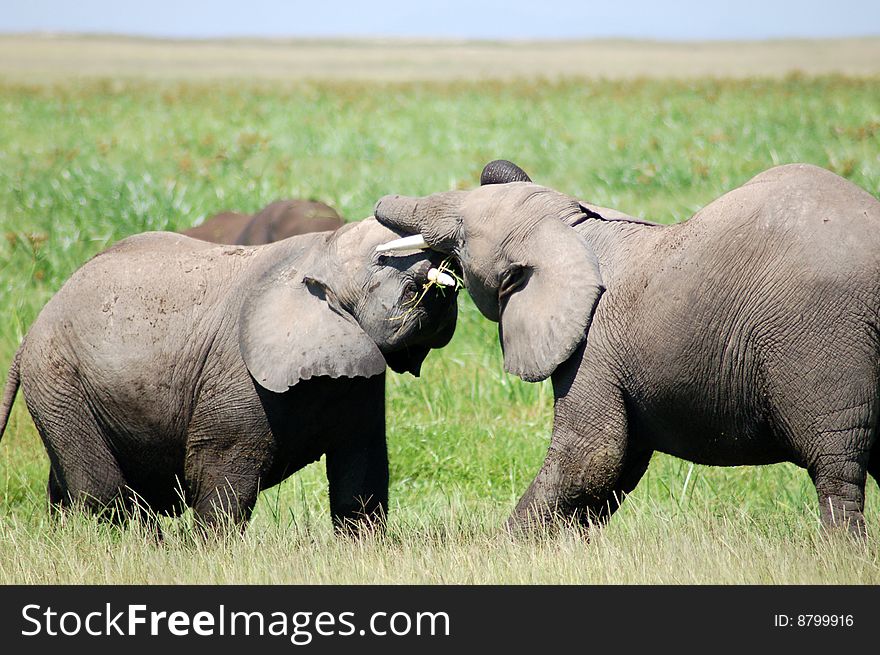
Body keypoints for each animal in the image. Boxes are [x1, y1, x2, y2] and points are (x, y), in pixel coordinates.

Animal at [1, 218, 460, 536]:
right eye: (381, 259)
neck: (318, 250)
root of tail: (30, 334)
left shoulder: (356, 378)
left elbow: (361, 466)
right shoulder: (237, 373)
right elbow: (222, 469)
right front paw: (206, 554)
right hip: (60, 382)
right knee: (104, 491)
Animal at [374, 163, 880, 540]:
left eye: (459, 235)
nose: (379, 202)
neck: (572, 230)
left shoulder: (591, 350)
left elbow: (592, 456)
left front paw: (502, 549)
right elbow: (620, 466)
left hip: (823, 340)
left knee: (836, 467)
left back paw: (840, 553)